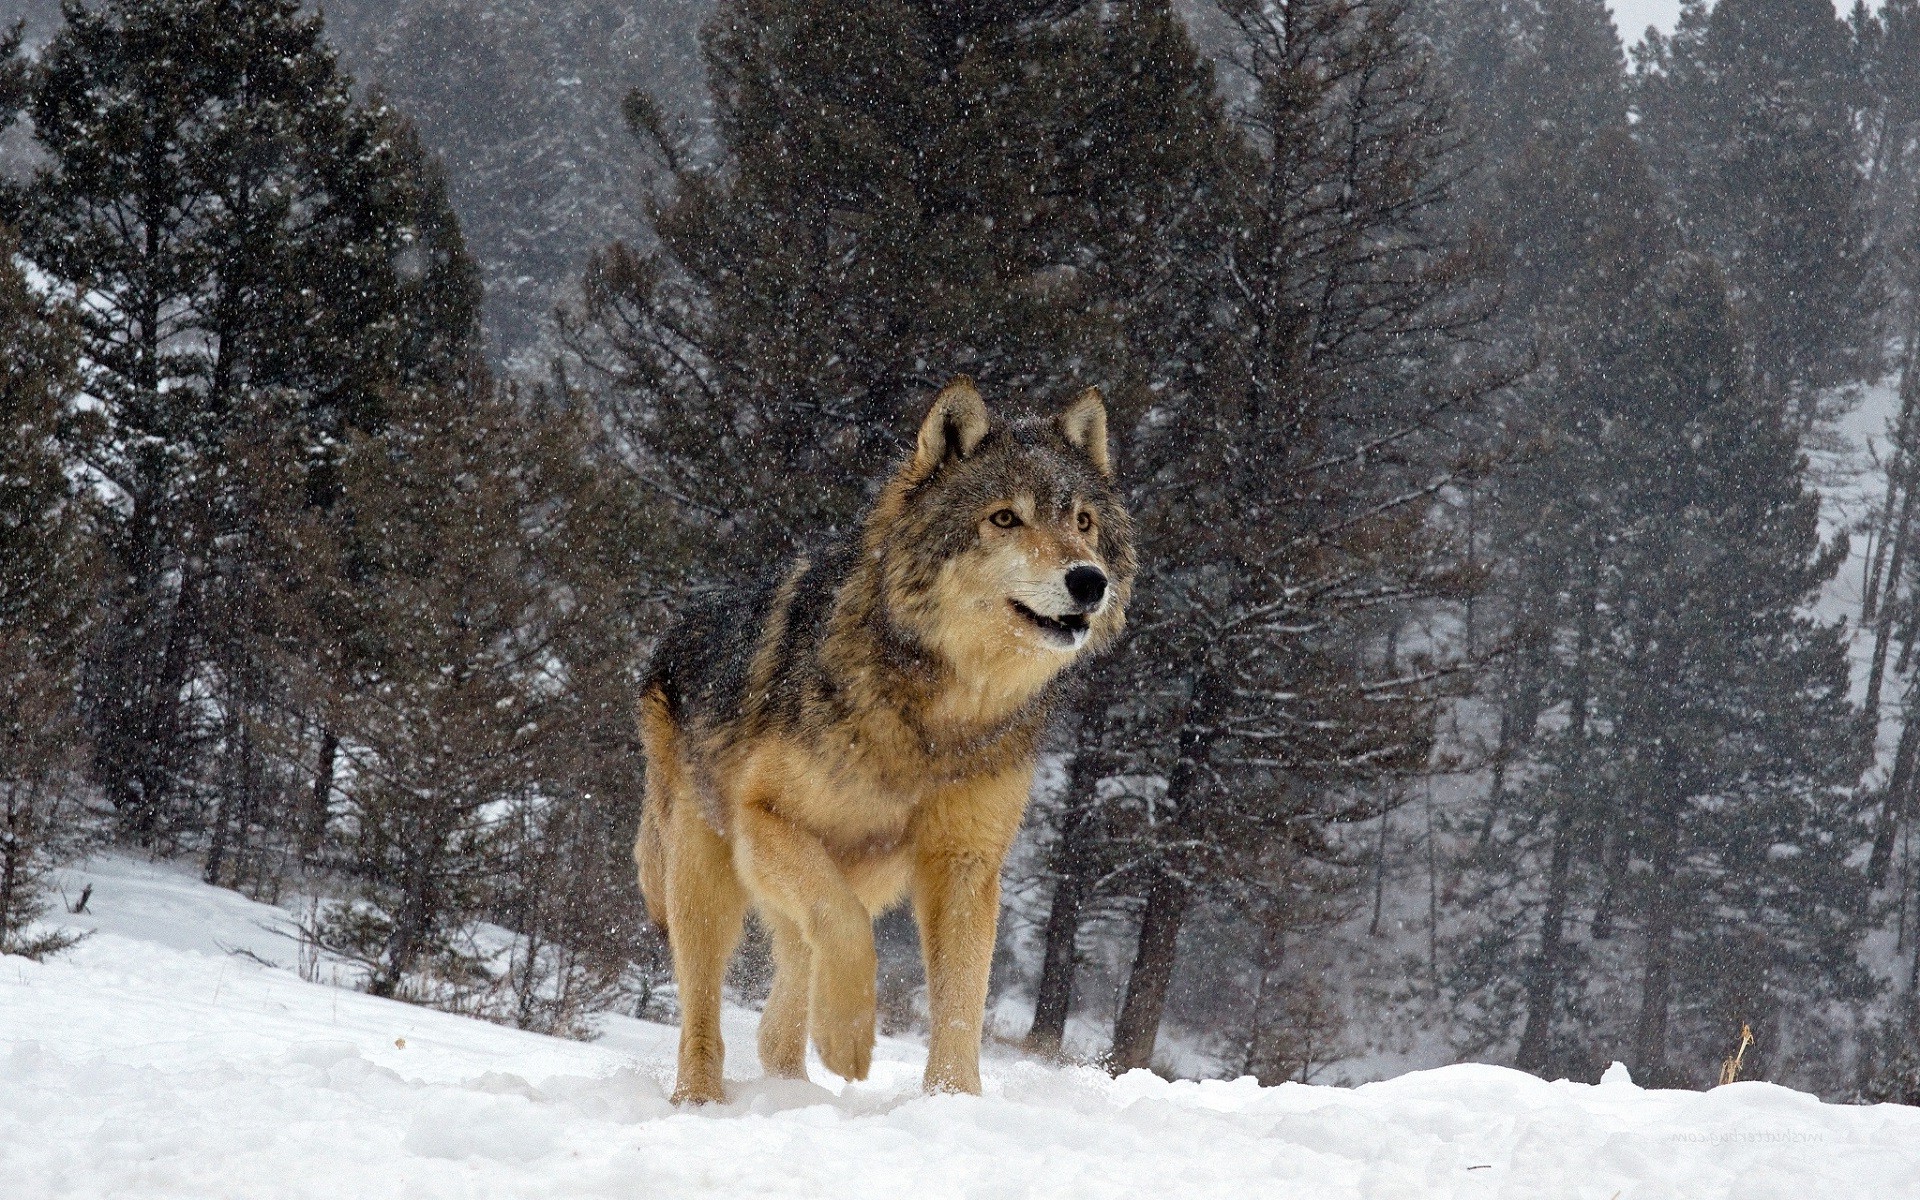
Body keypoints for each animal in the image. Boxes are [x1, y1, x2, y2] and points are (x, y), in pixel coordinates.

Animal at [637, 378, 1128, 1098]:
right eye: (1004, 519)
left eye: (1083, 522)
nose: (1089, 580)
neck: (938, 718)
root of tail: (676, 629)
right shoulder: (765, 819)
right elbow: (842, 926)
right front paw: (848, 1040)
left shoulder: (965, 864)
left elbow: (961, 1003)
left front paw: (952, 1101)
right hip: (707, 877)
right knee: (706, 1010)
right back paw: (702, 1099)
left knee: (781, 1006)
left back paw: (793, 1088)